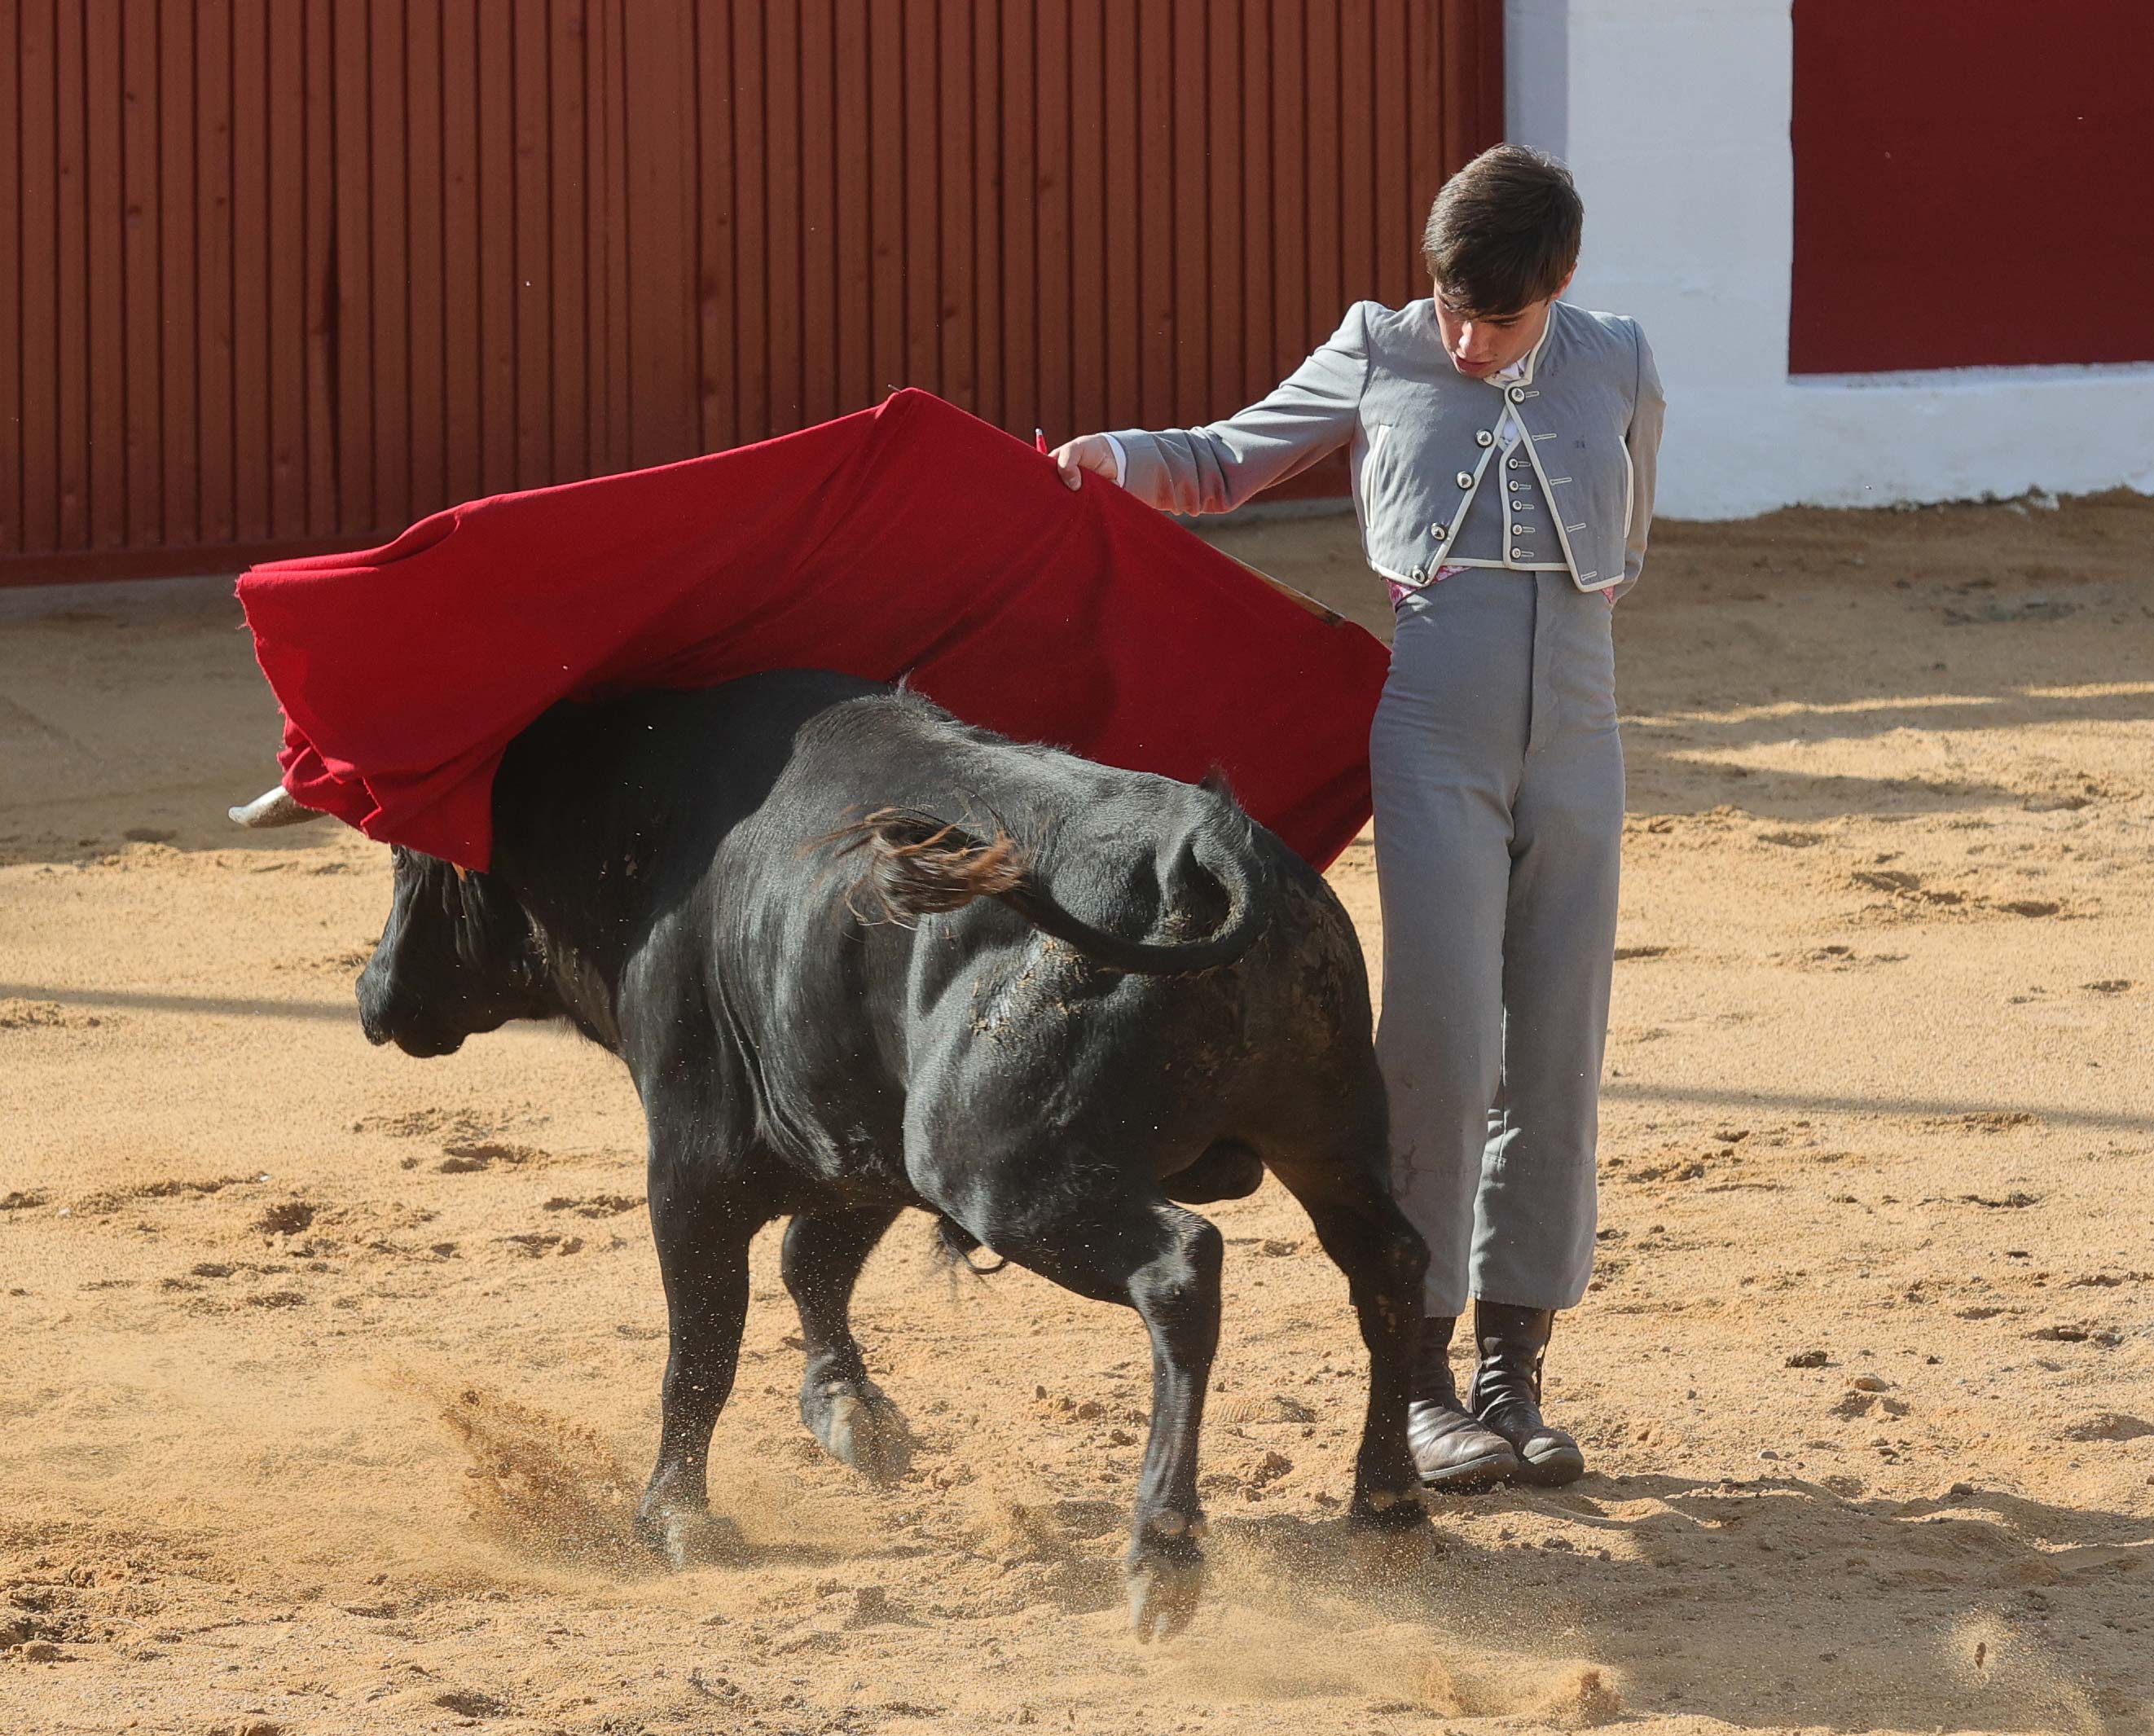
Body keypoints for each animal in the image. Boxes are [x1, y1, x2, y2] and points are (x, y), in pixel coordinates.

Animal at [353, 671, 1430, 1637]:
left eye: (409, 860)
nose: (371, 993)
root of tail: (1207, 847)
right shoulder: (861, 1136)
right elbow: (812, 1262)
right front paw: (851, 1412)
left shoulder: (692, 1161)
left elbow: (703, 1338)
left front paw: (675, 1515)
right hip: (1329, 1133)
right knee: (1387, 1263)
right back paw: (1387, 1511)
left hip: (993, 1167)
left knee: (1180, 1269)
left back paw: (1161, 1553)